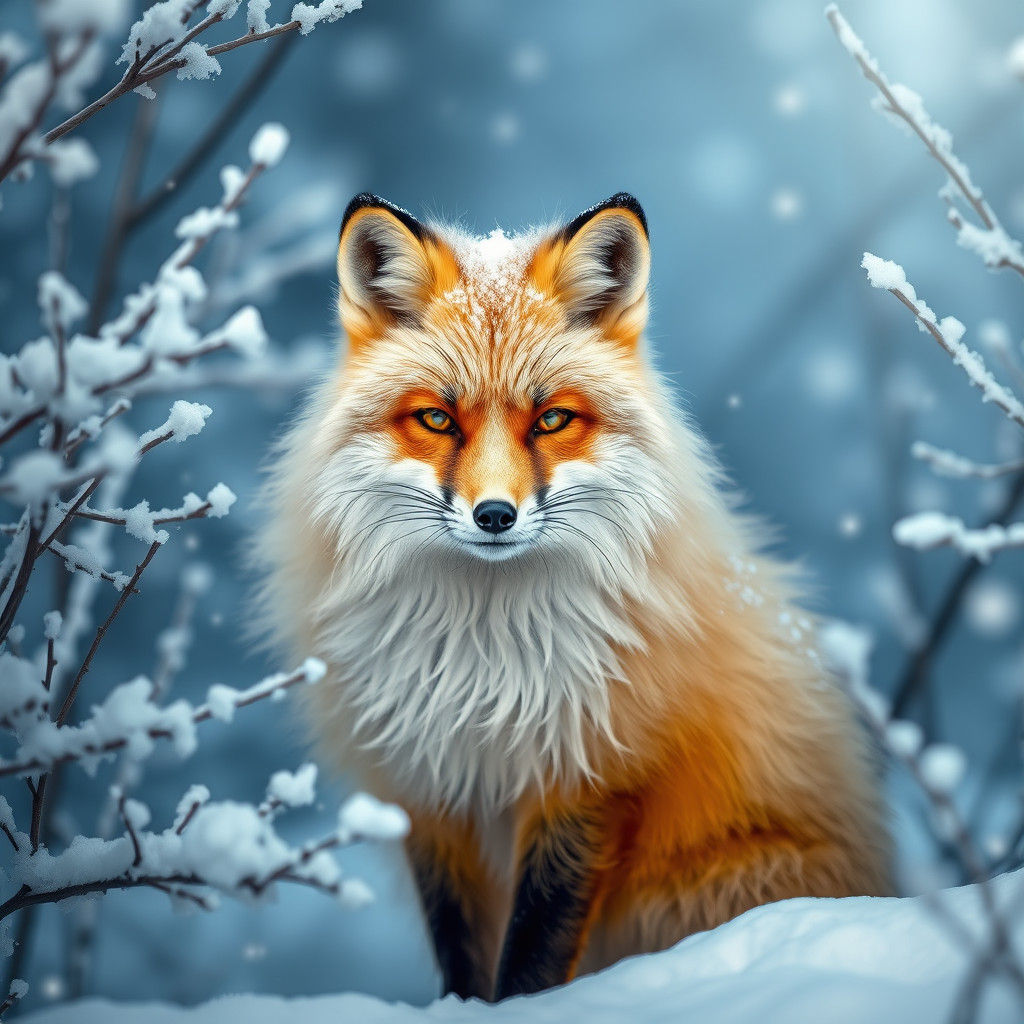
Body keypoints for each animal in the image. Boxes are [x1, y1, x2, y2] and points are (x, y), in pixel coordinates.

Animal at [257, 191, 892, 1001]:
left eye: (552, 419)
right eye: (437, 419)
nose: (495, 515)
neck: (482, 659)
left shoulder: (592, 773)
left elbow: (534, 950)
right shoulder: (427, 786)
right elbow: (462, 950)